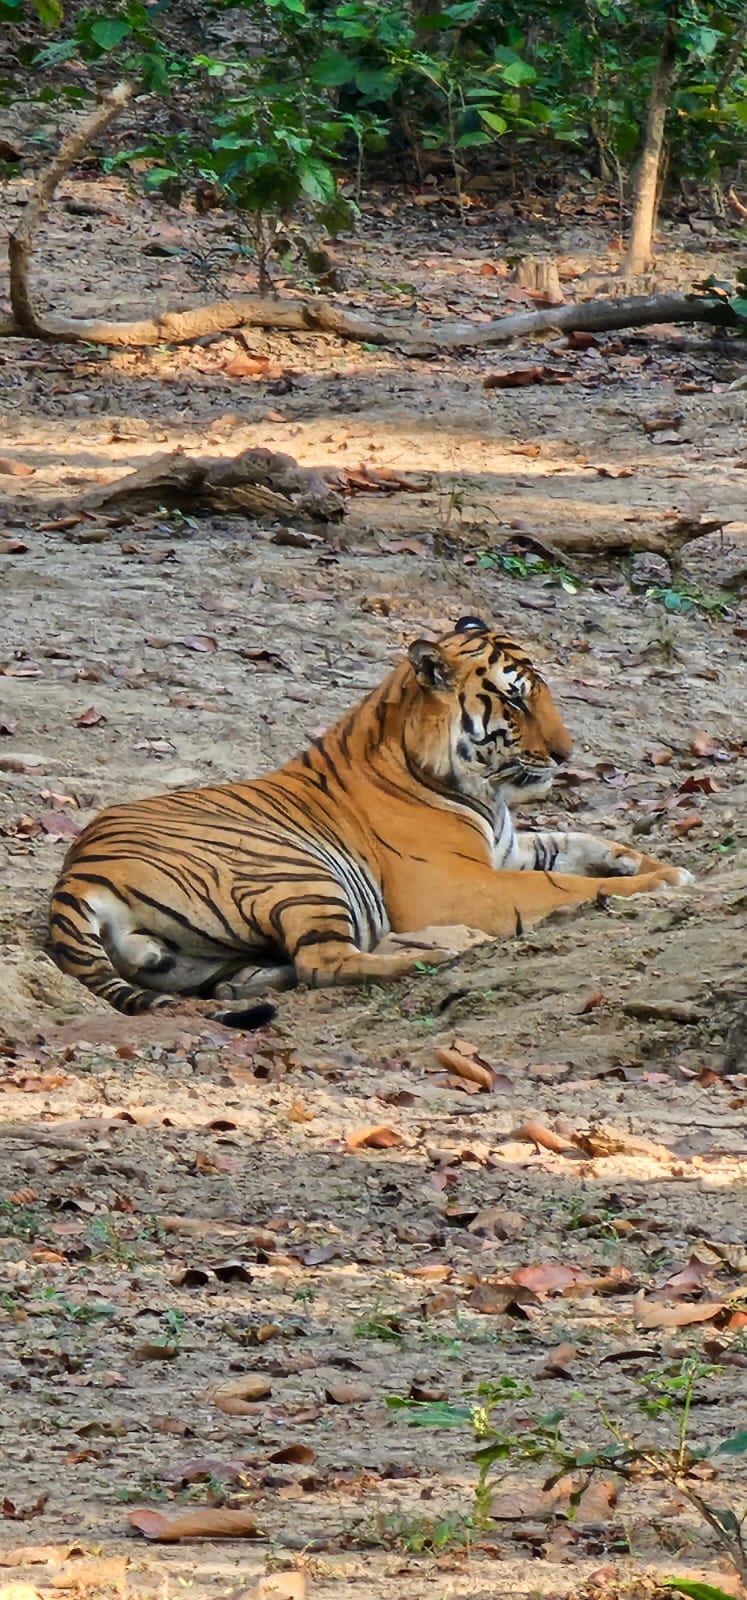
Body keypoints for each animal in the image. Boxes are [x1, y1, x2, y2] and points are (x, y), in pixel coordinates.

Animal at [49, 615, 692, 1024]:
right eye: (514, 701)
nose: (566, 755)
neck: (485, 793)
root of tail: (76, 873)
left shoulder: (507, 848)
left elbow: (582, 842)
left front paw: (657, 864)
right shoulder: (461, 882)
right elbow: (560, 884)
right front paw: (658, 883)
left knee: (257, 974)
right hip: (298, 872)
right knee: (322, 963)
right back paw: (444, 952)